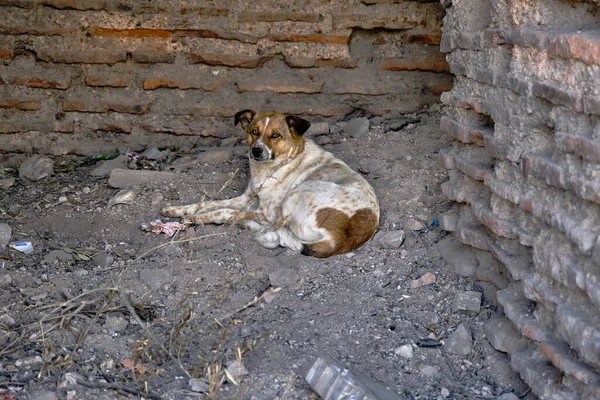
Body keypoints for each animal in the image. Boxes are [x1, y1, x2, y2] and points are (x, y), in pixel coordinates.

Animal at [161, 111, 380, 258]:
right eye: (254, 132)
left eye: (275, 135)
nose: (256, 151)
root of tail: (343, 236)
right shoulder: (247, 197)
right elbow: (210, 203)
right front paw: (175, 209)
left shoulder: (266, 211)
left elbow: (224, 211)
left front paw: (195, 218)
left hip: (298, 192)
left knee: (269, 231)